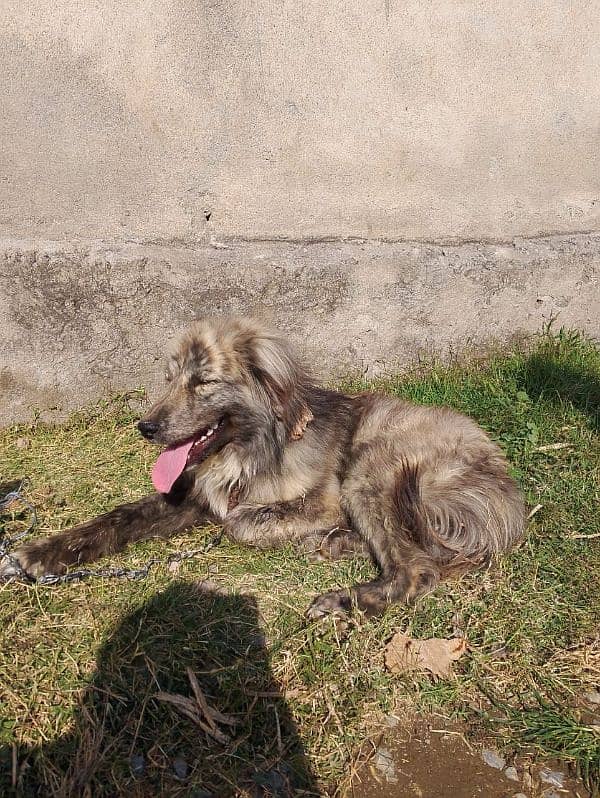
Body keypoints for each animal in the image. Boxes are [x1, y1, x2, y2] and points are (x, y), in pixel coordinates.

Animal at [0, 318, 524, 620]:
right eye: (170, 379)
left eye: (203, 381)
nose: (145, 427)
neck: (248, 446)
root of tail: (504, 488)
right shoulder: (190, 495)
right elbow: (118, 516)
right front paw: (39, 554)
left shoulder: (321, 501)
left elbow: (238, 522)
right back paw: (337, 544)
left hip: (368, 466)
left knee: (418, 566)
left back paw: (343, 596)